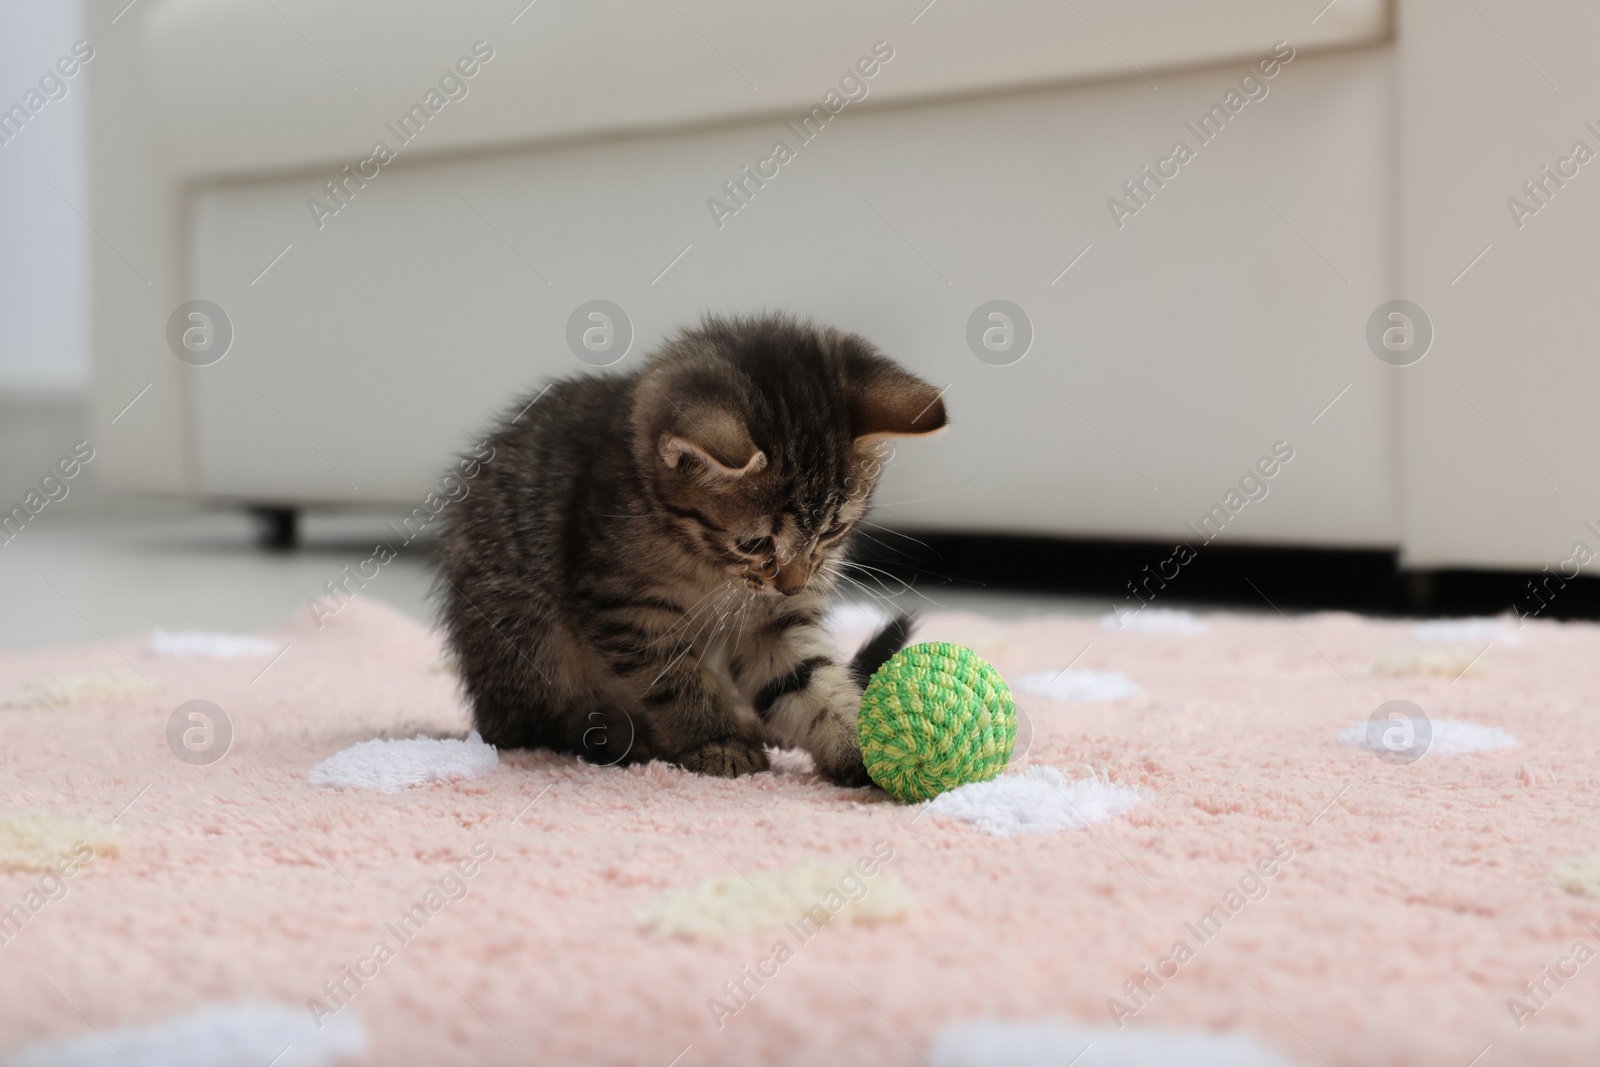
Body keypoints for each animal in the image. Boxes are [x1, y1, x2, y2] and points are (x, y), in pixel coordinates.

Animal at [432, 313, 940, 780]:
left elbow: (806, 681)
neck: (711, 565)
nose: (793, 585)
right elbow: (678, 681)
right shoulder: (627, 609)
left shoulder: (778, 622)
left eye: (832, 532)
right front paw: (718, 742)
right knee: (543, 725)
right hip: (522, 635)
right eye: (754, 543)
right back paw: (620, 733)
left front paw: (861, 746)